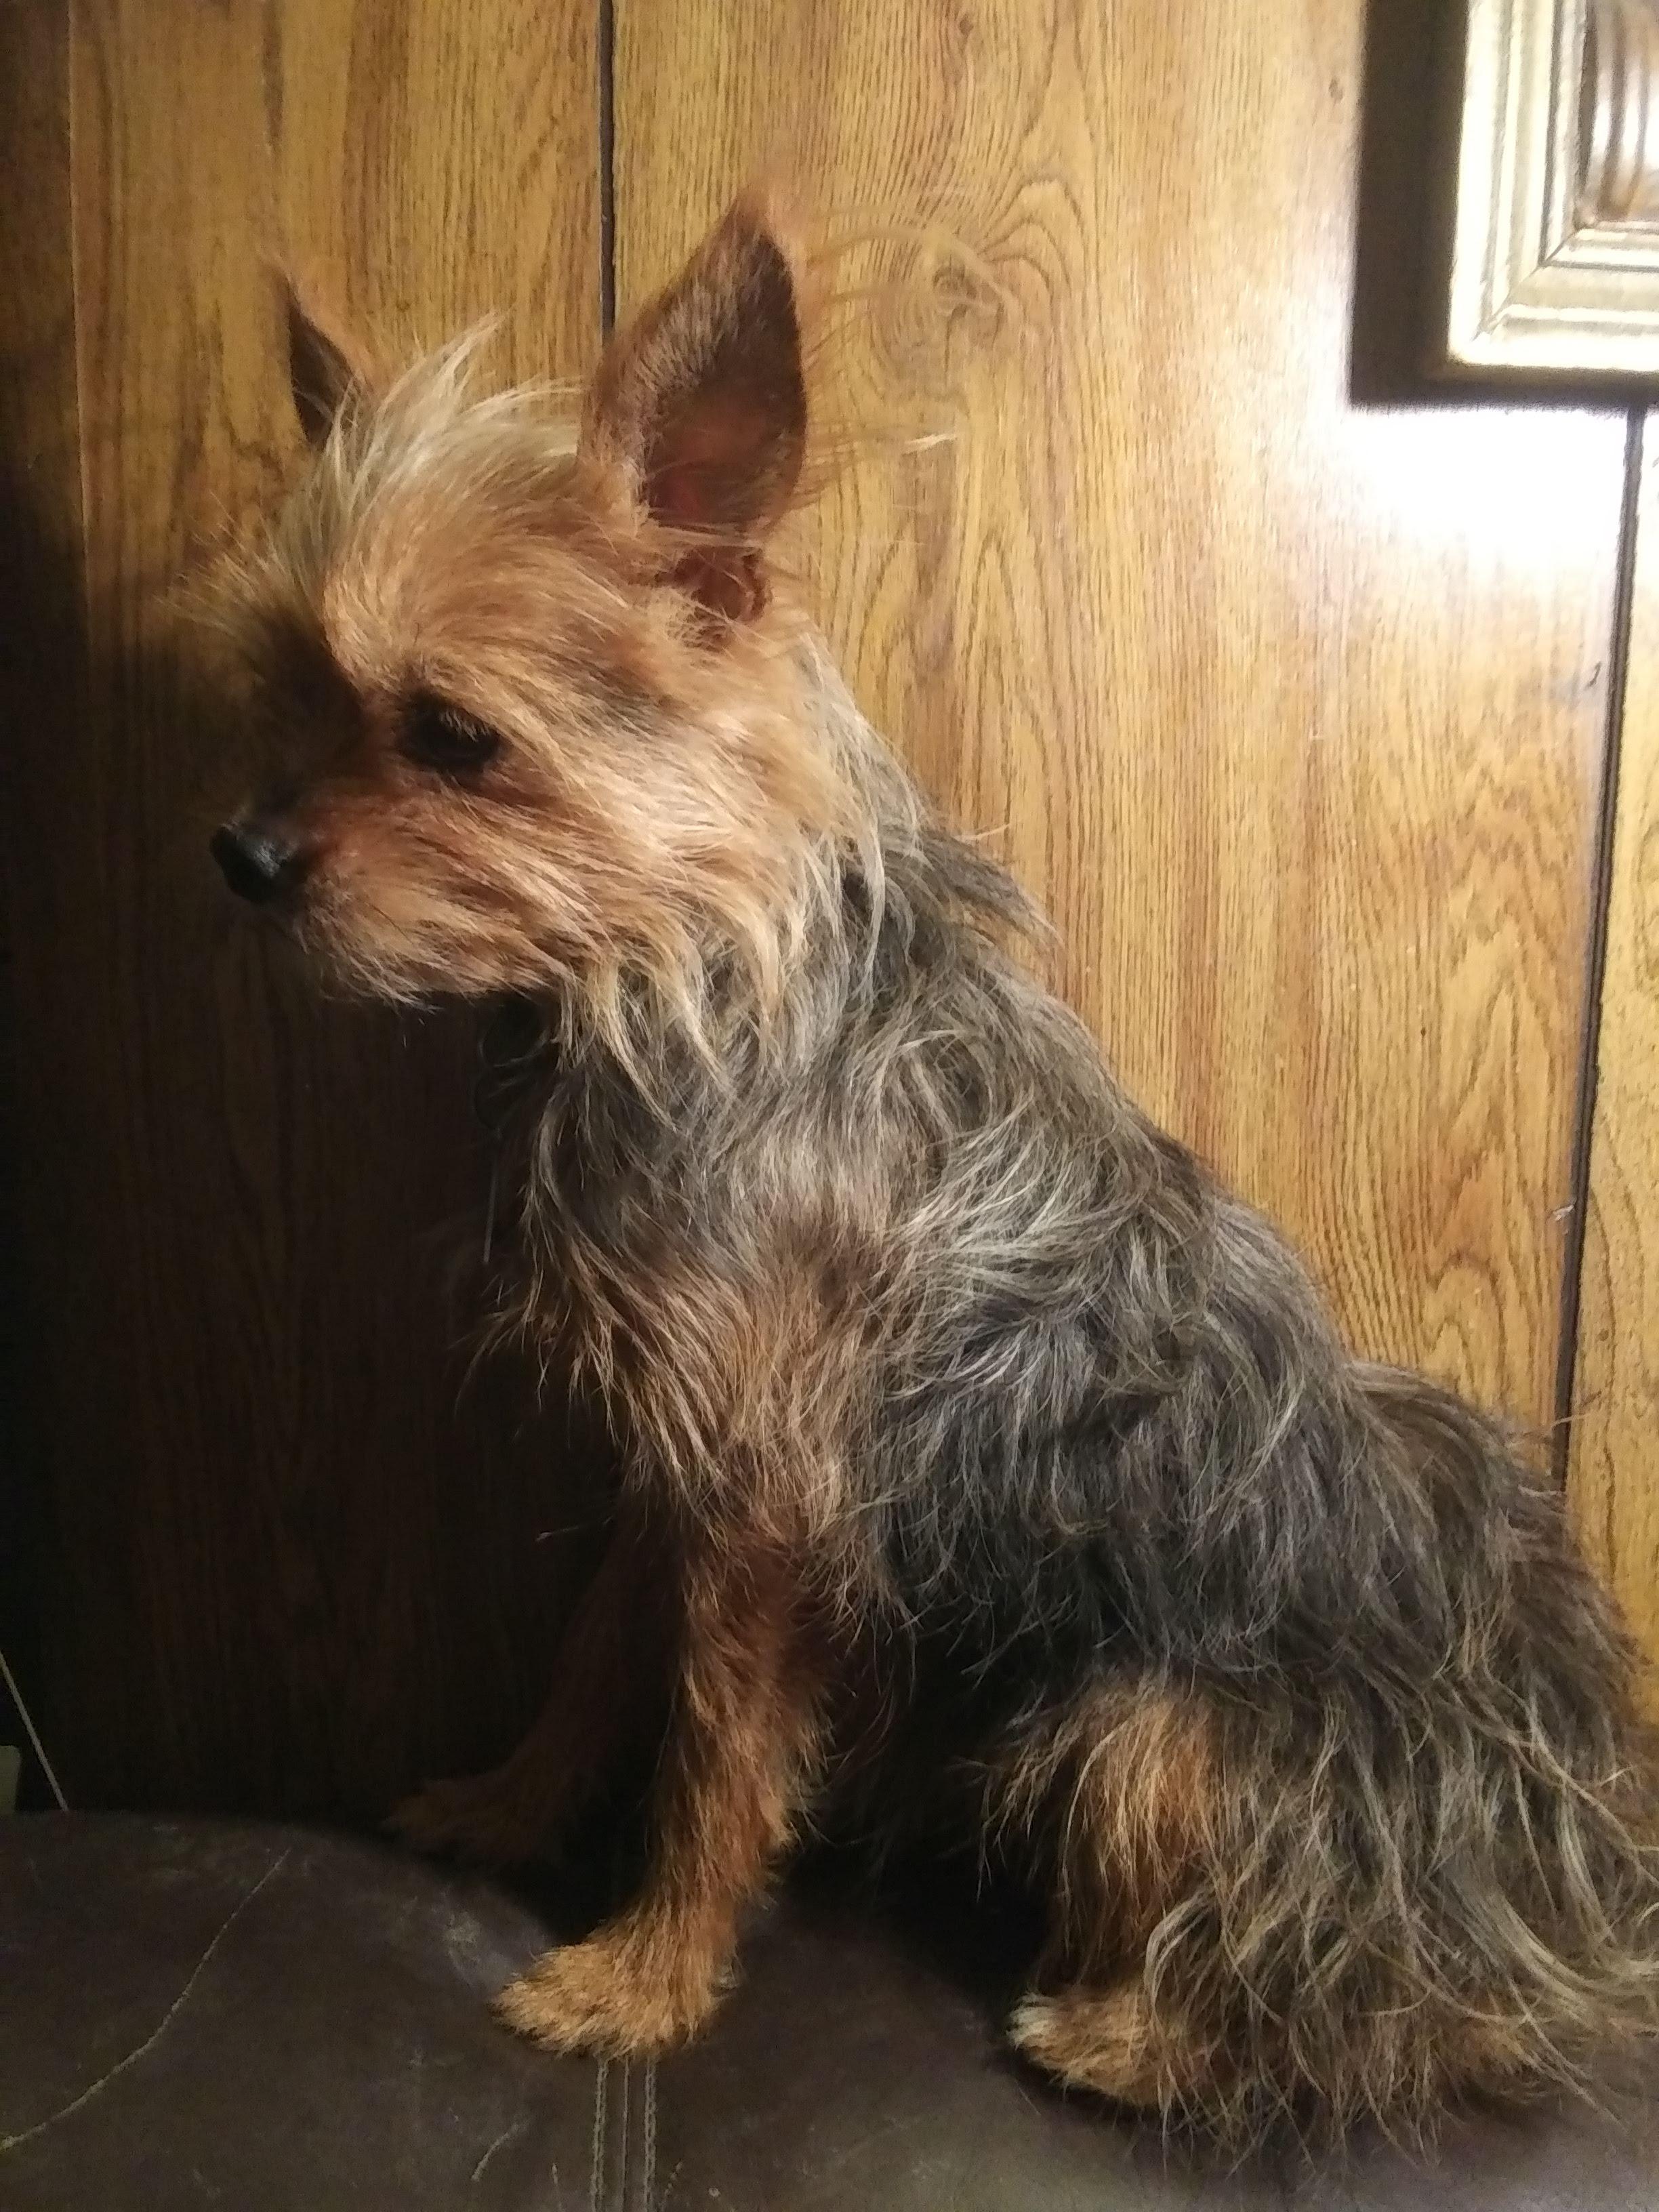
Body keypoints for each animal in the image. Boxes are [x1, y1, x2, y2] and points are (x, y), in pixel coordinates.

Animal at [205, 189, 1659, 2146]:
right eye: (285, 694)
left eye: (450, 736)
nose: (243, 855)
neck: (684, 973)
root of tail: (1569, 1855)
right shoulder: (679, 1454)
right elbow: (597, 1655)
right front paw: (508, 1809)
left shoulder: (767, 1506)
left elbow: (714, 1756)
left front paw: (644, 1979)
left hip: (1148, 1734)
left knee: (1372, 2012)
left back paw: (1122, 2032)